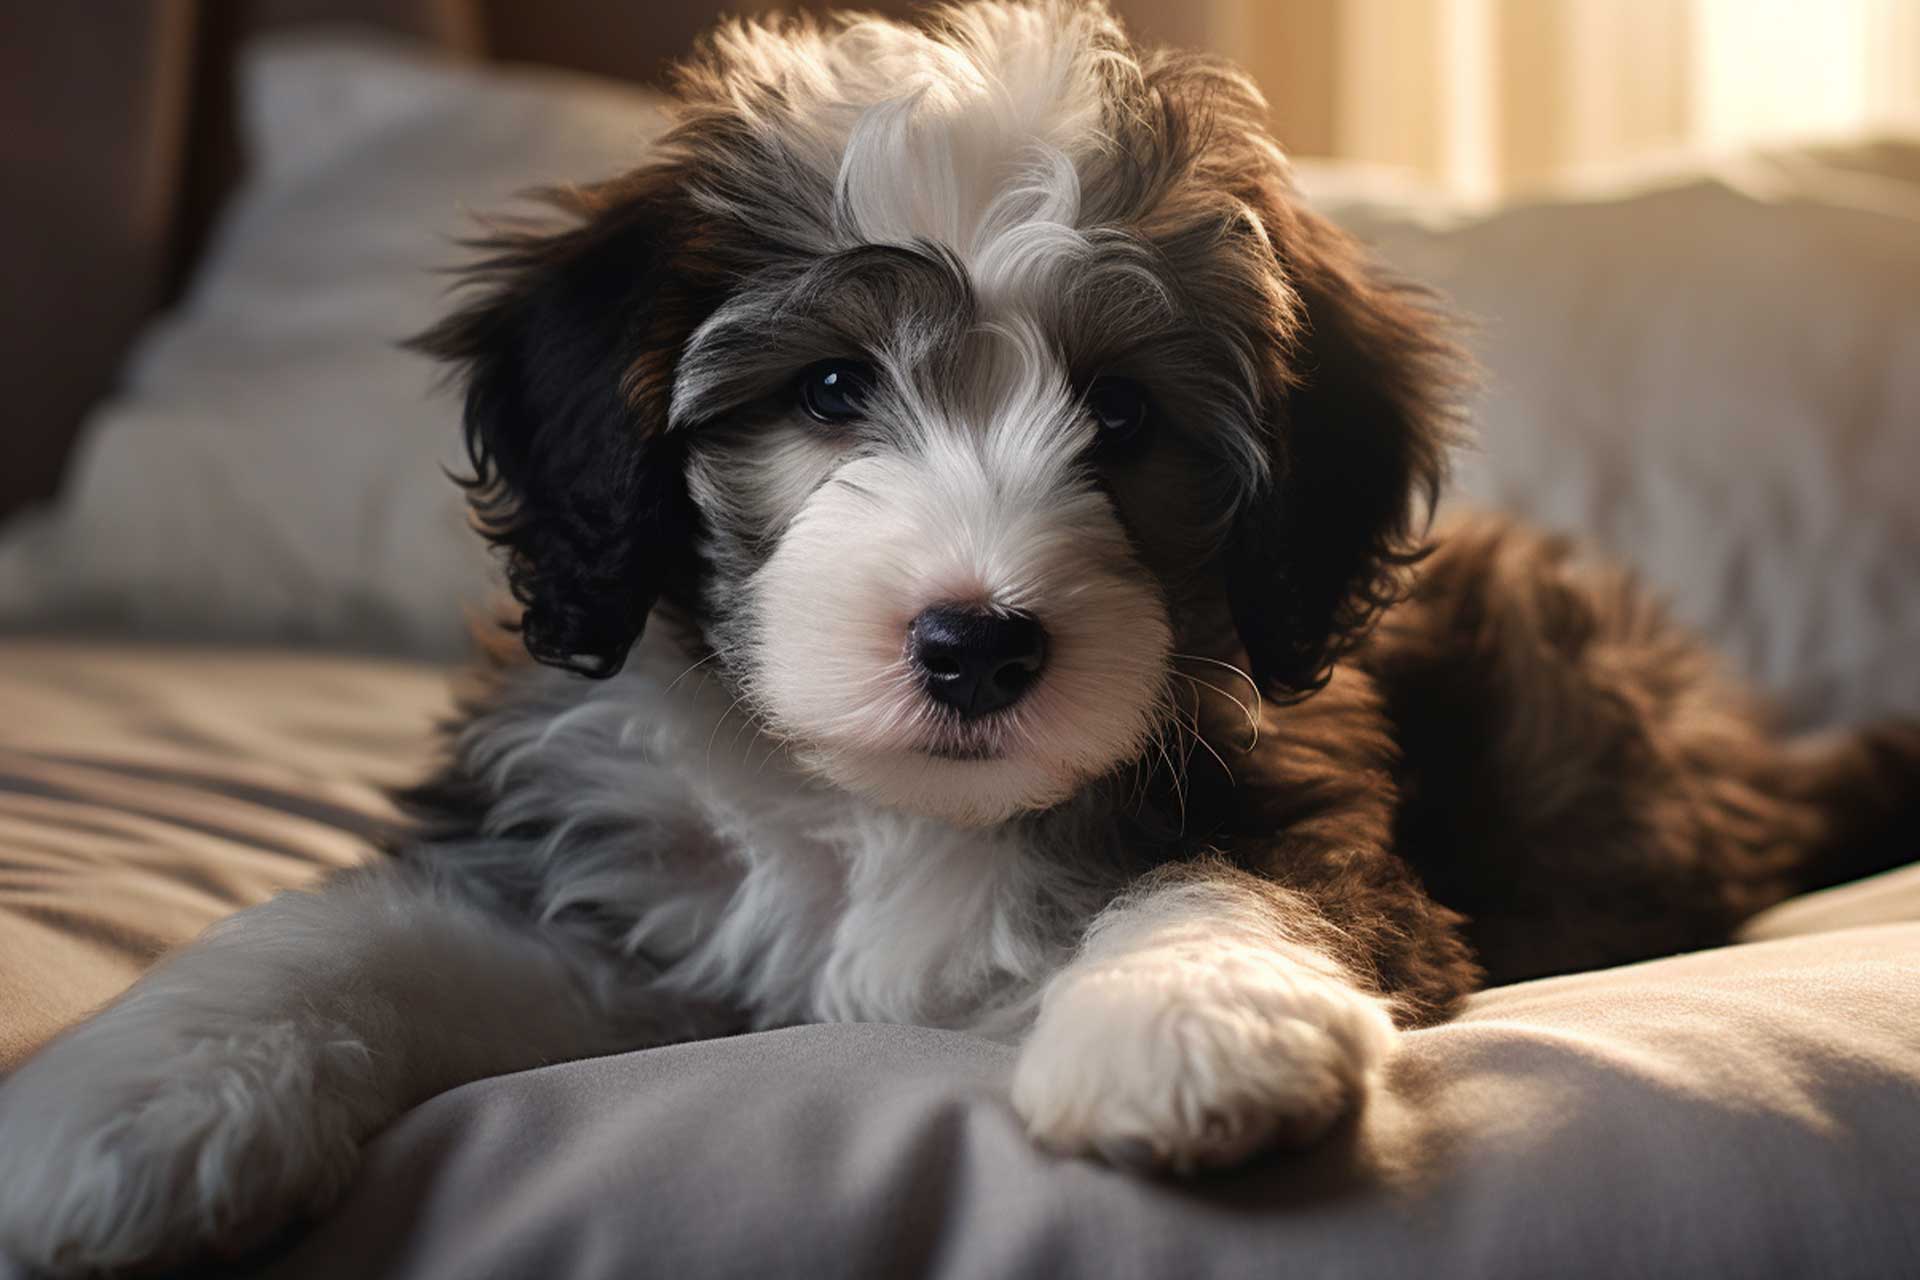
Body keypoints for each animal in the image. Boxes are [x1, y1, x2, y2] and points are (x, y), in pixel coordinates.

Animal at [3, 5, 1920, 1274]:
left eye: (1125, 417)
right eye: (829, 388)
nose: (978, 645)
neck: (885, 811)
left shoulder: (1299, 784)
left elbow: (1237, 874)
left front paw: (1190, 1036)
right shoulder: (598, 885)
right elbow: (346, 937)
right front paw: (118, 1115)